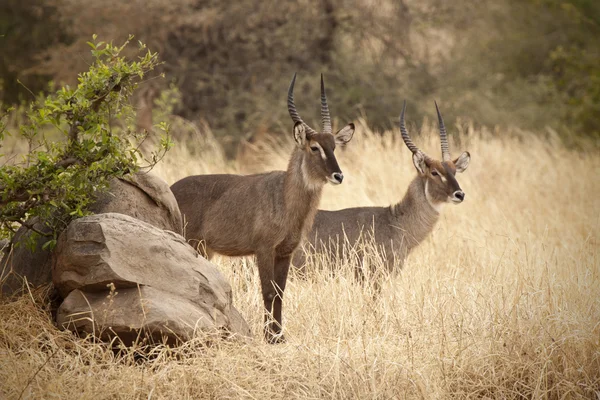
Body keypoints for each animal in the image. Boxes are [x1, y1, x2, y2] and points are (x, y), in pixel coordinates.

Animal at [171, 73, 354, 342]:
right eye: (314, 147)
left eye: (334, 146)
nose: (338, 176)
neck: (285, 198)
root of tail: (171, 188)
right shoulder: (264, 249)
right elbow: (268, 291)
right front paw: (270, 337)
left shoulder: (286, 252)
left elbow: (280, 292)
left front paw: (280, 335)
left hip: (204, 249)